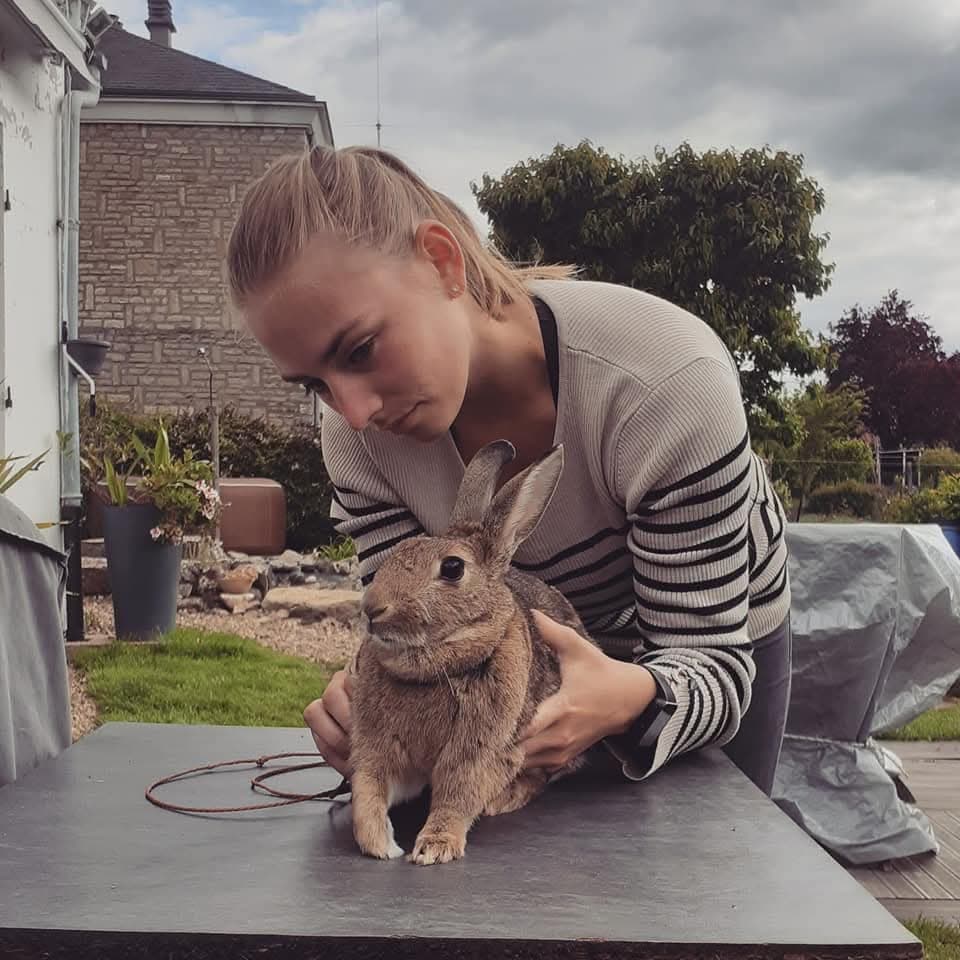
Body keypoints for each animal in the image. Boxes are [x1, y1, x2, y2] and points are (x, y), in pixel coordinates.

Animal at [348, 438, 597, 866]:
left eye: (452, 568)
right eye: (397, 552)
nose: (373, 608)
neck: (431, 670)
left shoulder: (479, 751)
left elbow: (457, 792)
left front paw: (435, 847)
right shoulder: (377, 748)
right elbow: (368, 788)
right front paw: (379, 844)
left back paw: (504, 799)